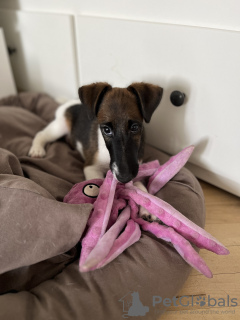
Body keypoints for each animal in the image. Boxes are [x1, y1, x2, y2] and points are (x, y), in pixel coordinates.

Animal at [28, 81, 163, 219]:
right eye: (106, 130)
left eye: (135, 127)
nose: (124, 177)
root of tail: (71, 102)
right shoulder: (91, 167)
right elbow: (101, 184)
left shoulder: (136, 168)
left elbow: (141, 188)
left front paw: (149, 208)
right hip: (60, 127)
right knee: (42, 134)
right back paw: (37, 149)